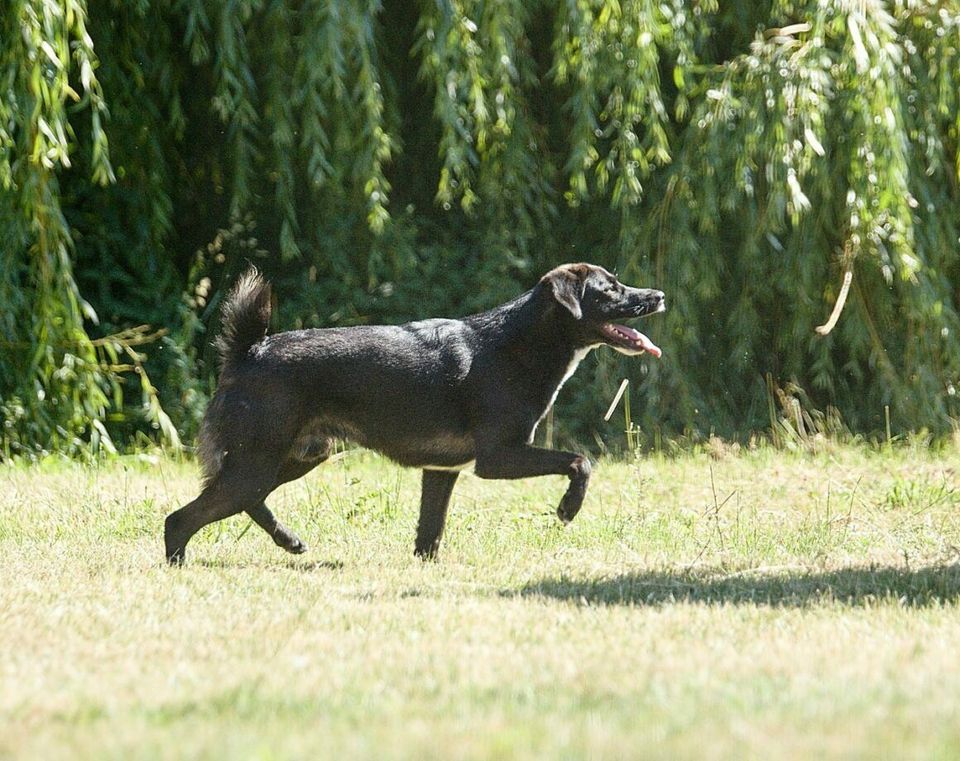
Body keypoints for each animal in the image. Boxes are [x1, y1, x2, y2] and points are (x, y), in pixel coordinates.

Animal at [165, 264, 664, 560]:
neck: (519, 344)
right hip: (260, 461)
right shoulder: (498, 457)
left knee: (240, 501)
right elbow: (581, 461)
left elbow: (429, 534)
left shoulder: (442, 470)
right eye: (610, 288)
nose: (658, 295)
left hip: (295, 457)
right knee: (182, 518)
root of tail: (249, 351)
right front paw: (567, 508)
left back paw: (287, 540)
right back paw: (179, 565)